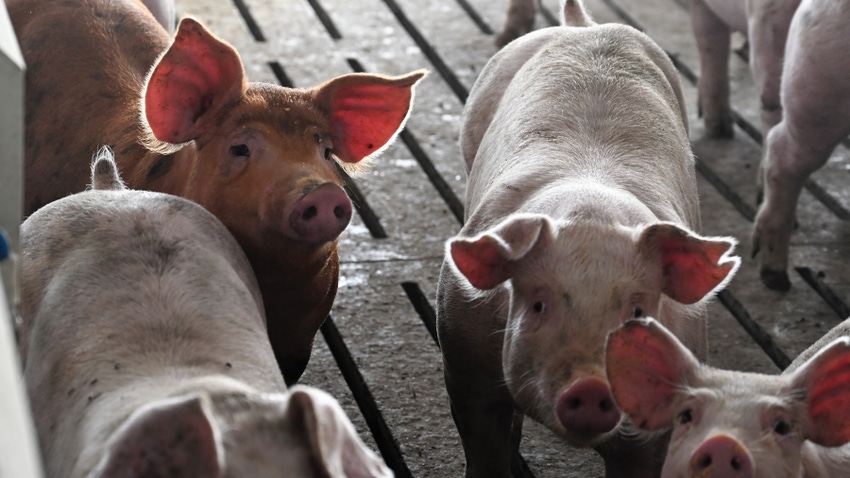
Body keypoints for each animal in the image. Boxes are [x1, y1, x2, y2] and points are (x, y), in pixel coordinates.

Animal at [434, 1, 740, 476]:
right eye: (538, 304)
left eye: (637, 312)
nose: (592, 388)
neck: (591, 211)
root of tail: (584, 27)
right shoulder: (463, 365)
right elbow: (483, 450)